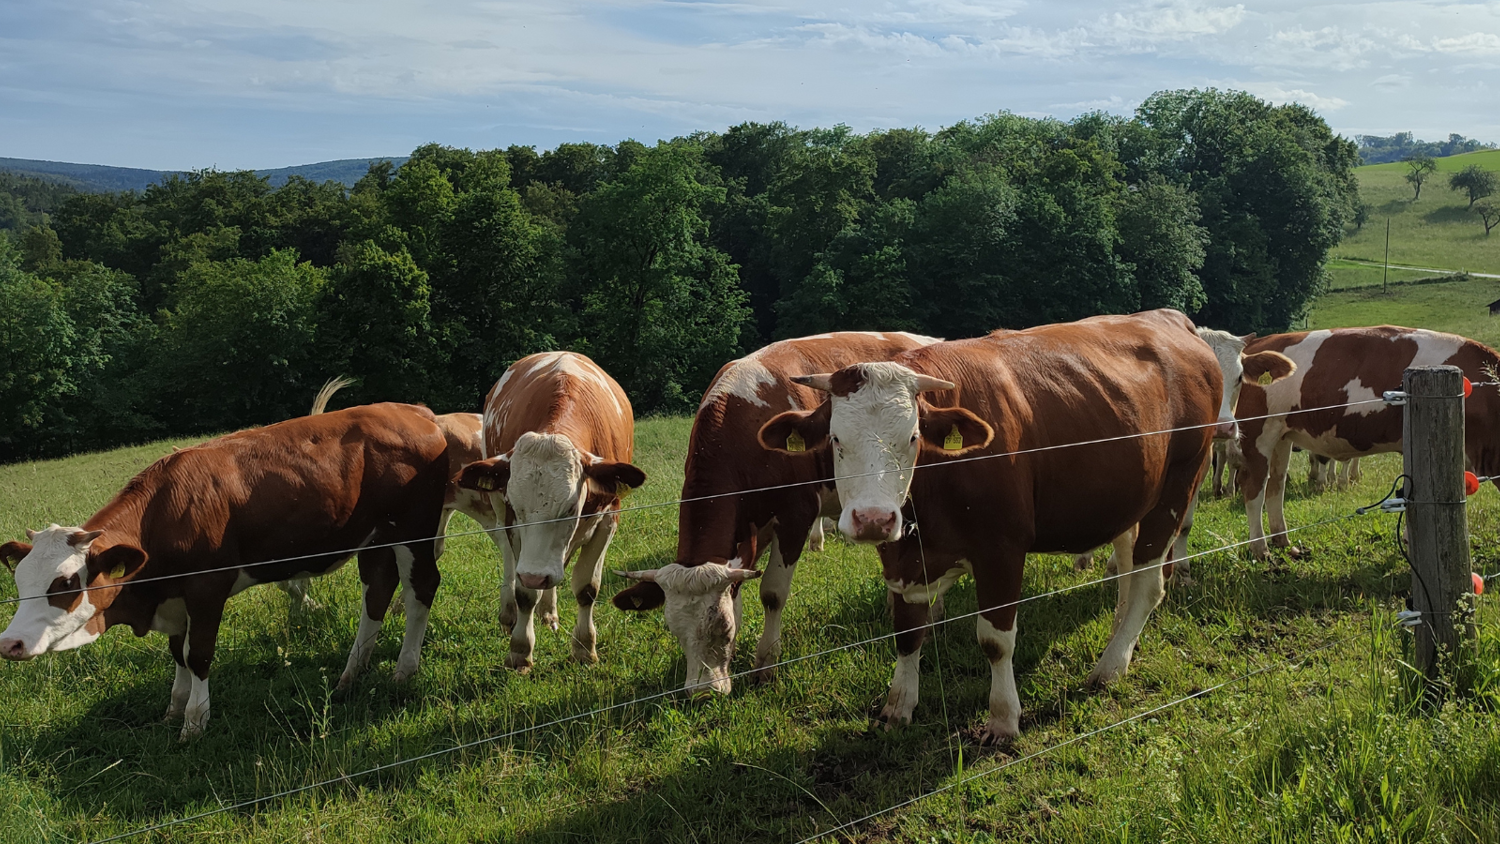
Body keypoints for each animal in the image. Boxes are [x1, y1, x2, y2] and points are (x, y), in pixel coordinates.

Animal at [0, 404, 452, 740]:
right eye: (19, 582)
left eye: (66, 583)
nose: (10, 644)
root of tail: (413, 411)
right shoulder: (175, 597)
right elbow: (177, 653)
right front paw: (174, 707)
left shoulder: (206, 588)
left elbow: (196, 654)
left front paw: (195, 721)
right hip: (374, 539)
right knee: (377, 593)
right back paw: (351, 673)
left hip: (413, 529)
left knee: (420, 590)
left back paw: (404, 670)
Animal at [455, 352, 646, 671]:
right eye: (517, 506)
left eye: (569, 508)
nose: (536, 576)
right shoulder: (510, 519)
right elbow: (524, 591)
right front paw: (520, 649)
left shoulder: (608, 520)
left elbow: (587, 588)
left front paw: (584, 648)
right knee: (510, 562)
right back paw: (510, 612)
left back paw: (549, 612)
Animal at [611, 331, 941, 696]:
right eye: (674, 630)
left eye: (722, 627)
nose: (702, 694)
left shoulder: (796, 516)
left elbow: (772, 594)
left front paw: (766, 662)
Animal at [758, 310, 1221, 744]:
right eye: (836, 439)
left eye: (913, 438)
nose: (874, 519)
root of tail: (1168, 319)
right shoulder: (903, 558)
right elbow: (907, 632)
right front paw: (898, 705)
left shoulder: (1002, 550)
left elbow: (995, 641)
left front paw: (1002, 718)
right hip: (1131, 495)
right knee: (1127, 565)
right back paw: (1121, 638)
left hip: (1179, 485)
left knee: (1149, 581)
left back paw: (1109, 667)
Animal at [1234, 326, 1500, 558]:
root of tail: (1258, 345)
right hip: (1258, 434)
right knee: (1253, 487)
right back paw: (1261, 549)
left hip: (1281, 435)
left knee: (1276, 484)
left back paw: (1283, 540)